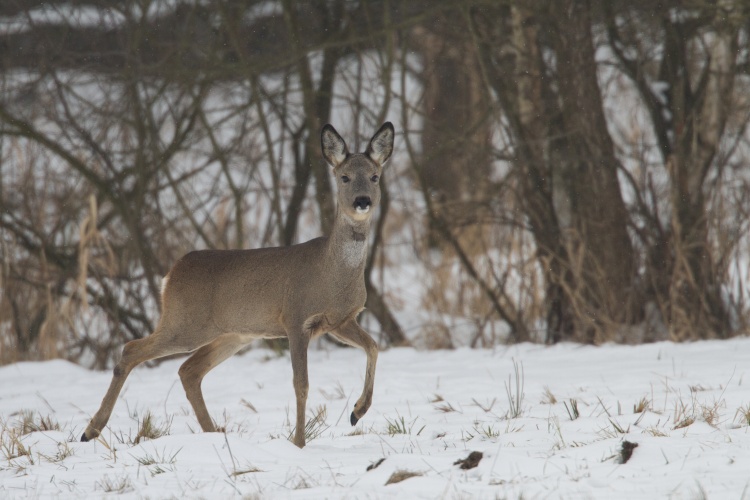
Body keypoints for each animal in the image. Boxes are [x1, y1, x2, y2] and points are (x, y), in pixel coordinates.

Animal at [81, 122, 400, 450]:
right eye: (344, 176)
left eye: (374, 176)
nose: (362, 201)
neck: (332, 275)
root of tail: (169, 275)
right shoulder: (296, 318)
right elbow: (301, 384)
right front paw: (299, 443)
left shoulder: (340, 321)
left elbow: (373, 347)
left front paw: (357, 411)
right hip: (185, 324)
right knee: (132, 349)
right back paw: (91, 429)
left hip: (232, 334)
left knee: (189, 370)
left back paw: (213, 432)